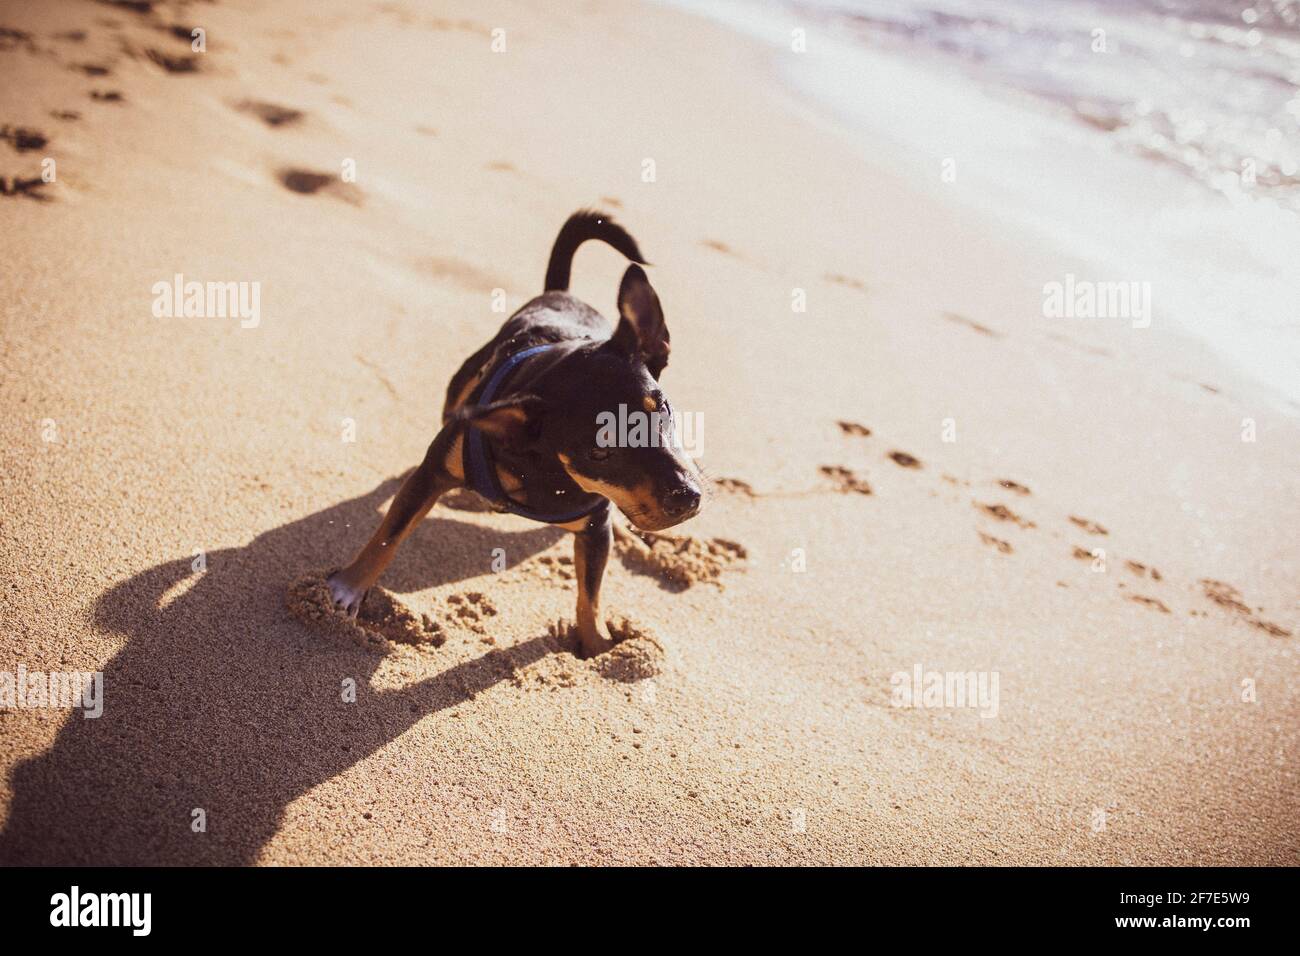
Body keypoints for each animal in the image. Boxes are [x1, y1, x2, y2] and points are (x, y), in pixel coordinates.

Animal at [330, 209, 707, 658]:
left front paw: (598, 647)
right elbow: (389, 536)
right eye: (599, 453)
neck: (544, 468)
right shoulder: (432, 474)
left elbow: (591, 595)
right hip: (455, 394)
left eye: (661, 409)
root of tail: (561, 291)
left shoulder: (595, 527)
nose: (686, 497)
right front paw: (349, 589)